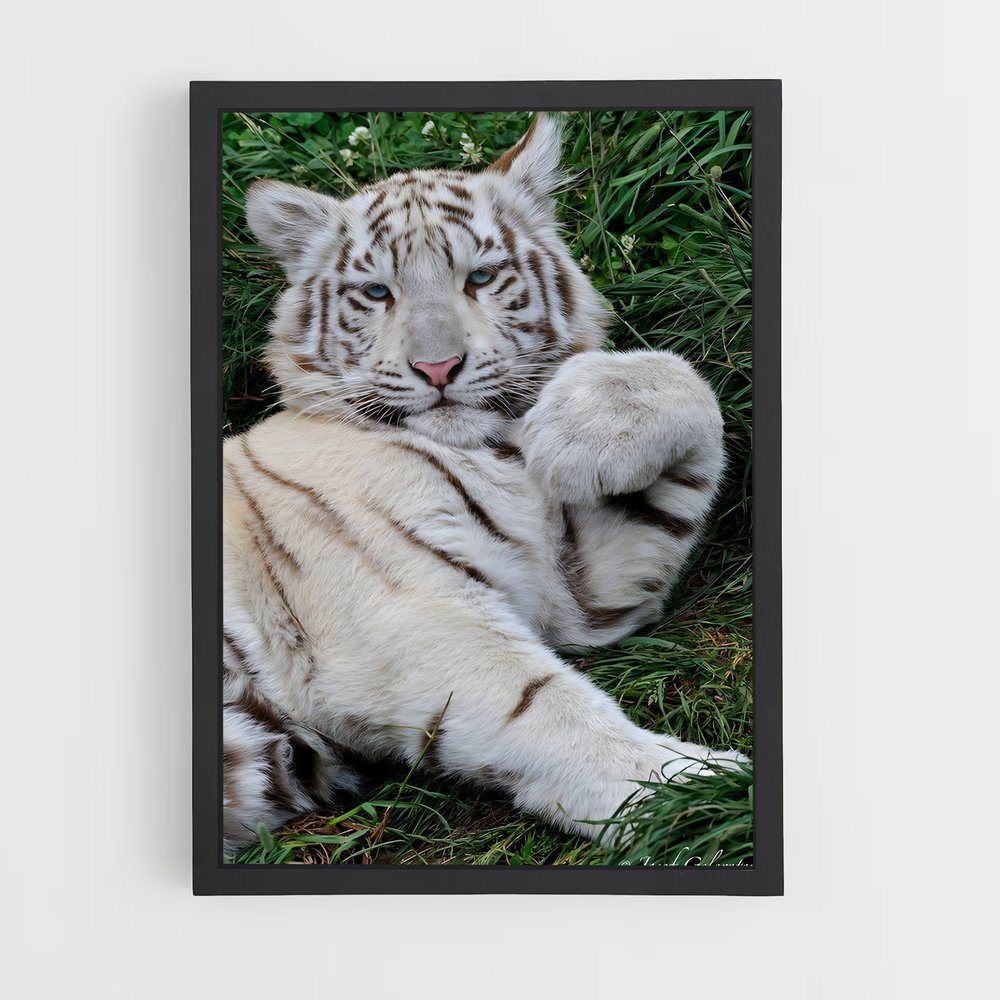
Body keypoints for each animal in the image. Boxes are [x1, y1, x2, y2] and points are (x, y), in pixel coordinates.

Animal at [223, 112, 748, 859]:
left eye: (480, 276)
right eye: (377, 292)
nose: (438, 367)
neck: (490, 447)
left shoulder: (577, 595)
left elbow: (686, 380)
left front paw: (575, 432)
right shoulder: (407, 613)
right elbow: (546, 708)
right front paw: (697, 794)